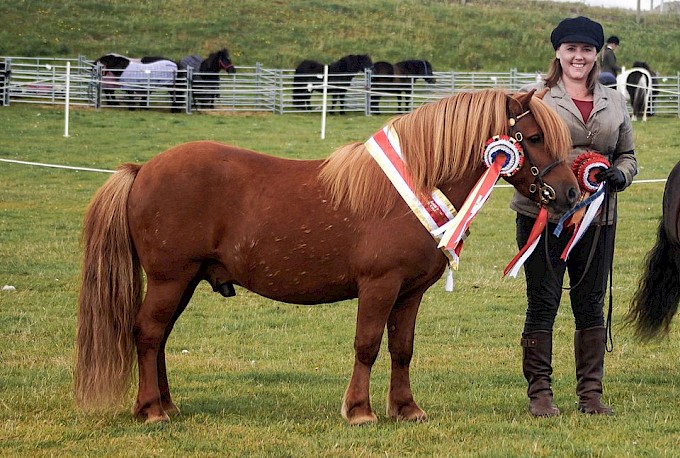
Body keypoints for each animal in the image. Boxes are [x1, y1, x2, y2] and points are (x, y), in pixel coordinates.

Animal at [73, 88, 580, 426]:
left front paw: (406, 408)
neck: (413, 189)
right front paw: (359, 411)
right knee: (148, 333)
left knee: (158, 338)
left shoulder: (410, 293)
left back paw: (165, 404)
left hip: (185, 281)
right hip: (169, 279)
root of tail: (142, 170)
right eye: (533, 136)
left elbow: (402, 349)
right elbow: (367, 345)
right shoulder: (379, 286)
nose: (572, 194)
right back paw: (151, 410)